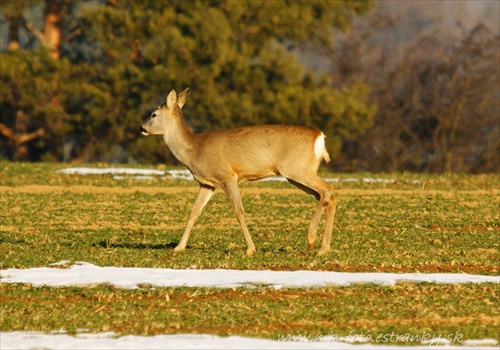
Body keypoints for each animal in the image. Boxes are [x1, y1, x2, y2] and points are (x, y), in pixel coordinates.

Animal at [139, 88, 338, 254]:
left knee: (327, 189)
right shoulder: (207, 183)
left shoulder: (227, 176)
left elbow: (238, 211)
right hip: (298, 173)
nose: (141, 127)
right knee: (328, 197)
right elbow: (195, 211)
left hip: (296, 169)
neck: (195, 149)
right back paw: (323, 248)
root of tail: (319, 136)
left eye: (154, 114)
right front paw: (179, 247)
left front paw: (250, 249)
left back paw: (311, 239)